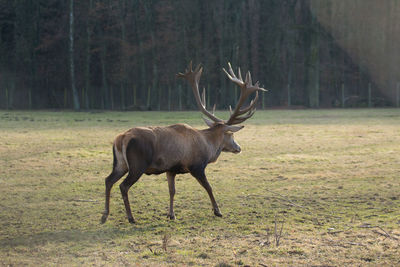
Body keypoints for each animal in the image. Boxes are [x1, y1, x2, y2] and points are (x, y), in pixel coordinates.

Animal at [101, 62, 266, 224]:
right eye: (231, 134)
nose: (238, 148)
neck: (208, 147)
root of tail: (121, 138)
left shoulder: (171, 169)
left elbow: (172, 191)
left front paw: (171, 214)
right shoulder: (197, 166)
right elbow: (209, 187)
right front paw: (217, 211)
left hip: (120, 163)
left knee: (108, 180)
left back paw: (105, 215)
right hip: (137, 165)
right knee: (123, 186)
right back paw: (130, 218)